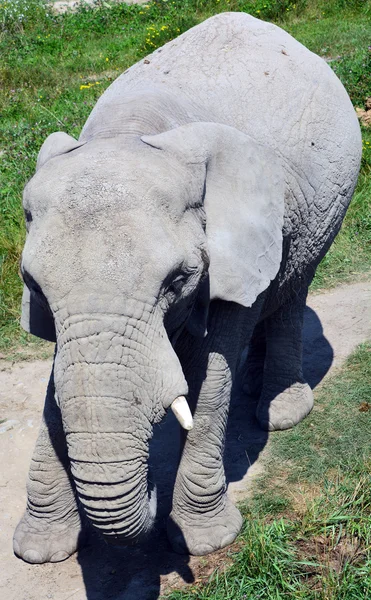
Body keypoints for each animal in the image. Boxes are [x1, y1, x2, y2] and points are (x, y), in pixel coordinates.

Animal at [13, 11, 360, 564]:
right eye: (34, 286)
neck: (134, 132)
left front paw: (204, 539)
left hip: (328, 210)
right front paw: (40, 550)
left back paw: (280, 413)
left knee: (292, 289)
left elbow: (213, 368)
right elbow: (56, 380)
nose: (151, 493)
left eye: (177, 280)